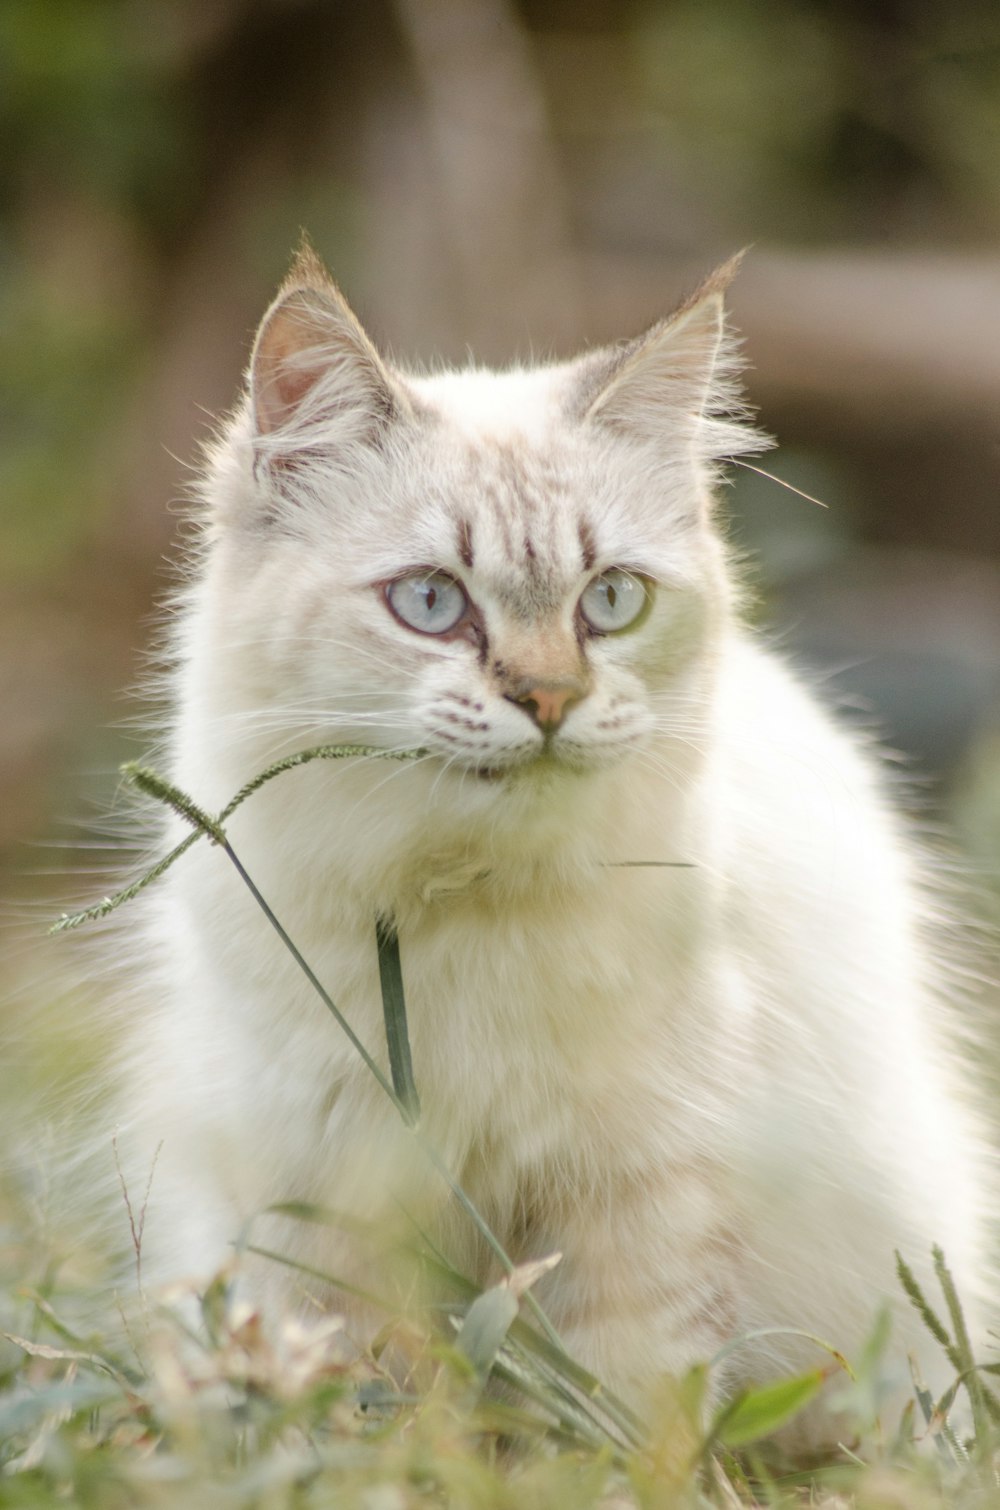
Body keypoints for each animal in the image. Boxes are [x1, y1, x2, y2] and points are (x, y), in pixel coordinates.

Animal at [115, 244, 984, 1413]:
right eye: (431, 603)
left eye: (610, 602)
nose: (550, 699)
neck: (468, 903)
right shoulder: (337, 1186)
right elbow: (360, 1390)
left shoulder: (642, 1184)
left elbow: (629, 1406)